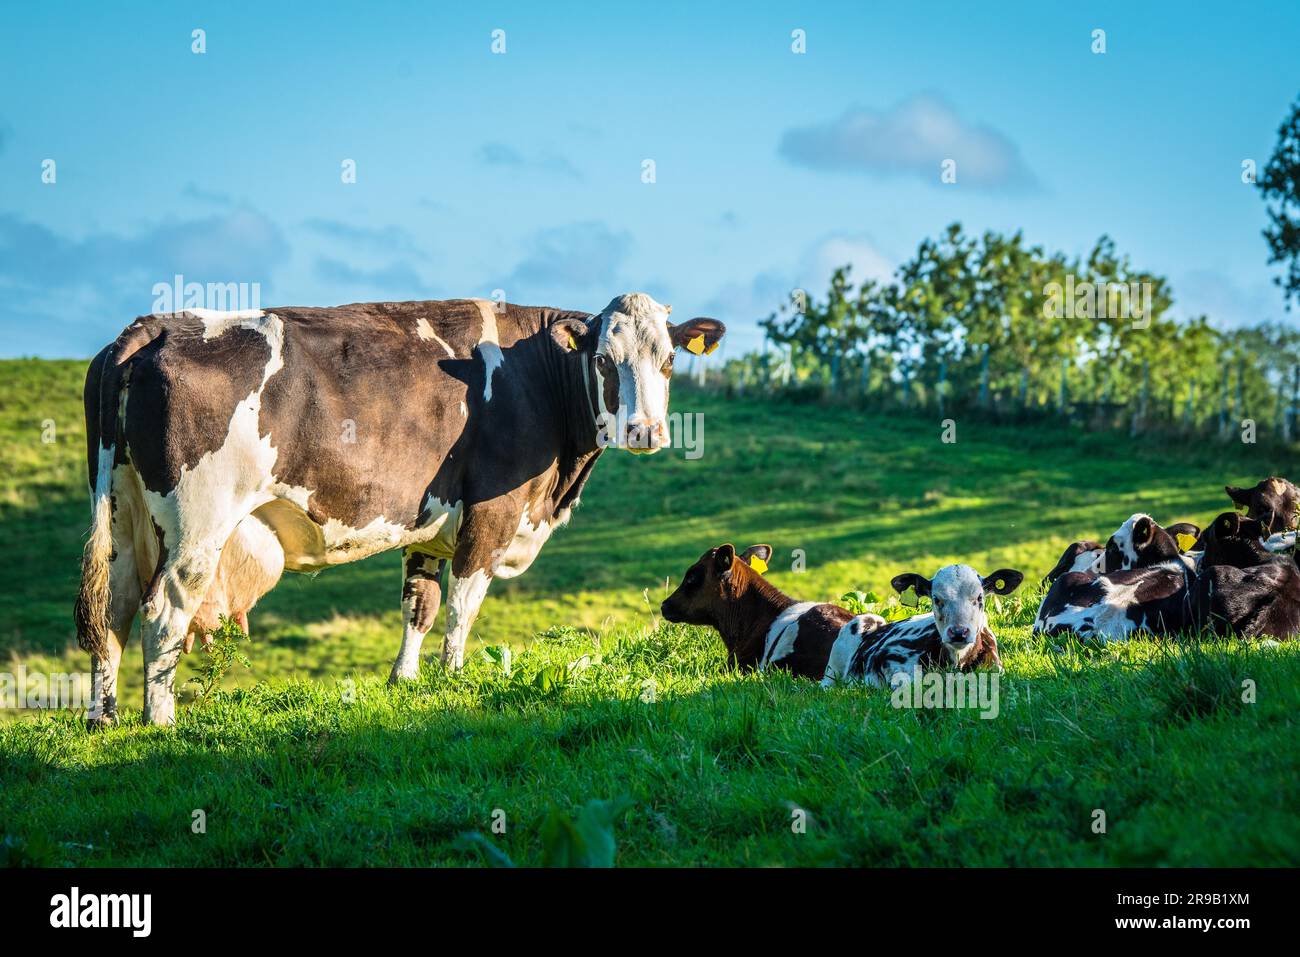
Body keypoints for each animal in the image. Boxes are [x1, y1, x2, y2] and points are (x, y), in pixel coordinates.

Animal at [75, 294, 725, 726]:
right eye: (604, 361)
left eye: (669, 361)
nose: (645, 431)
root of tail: (155, 325)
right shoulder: (491, 513)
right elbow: (462, 606)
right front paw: (454, 680)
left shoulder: (430, 524)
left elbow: (421, 604)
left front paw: (405, 682)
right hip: (197, 526)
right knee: (162, 611)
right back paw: (160, 720)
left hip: (125, 514)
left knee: (114, 609)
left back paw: (104, 718)